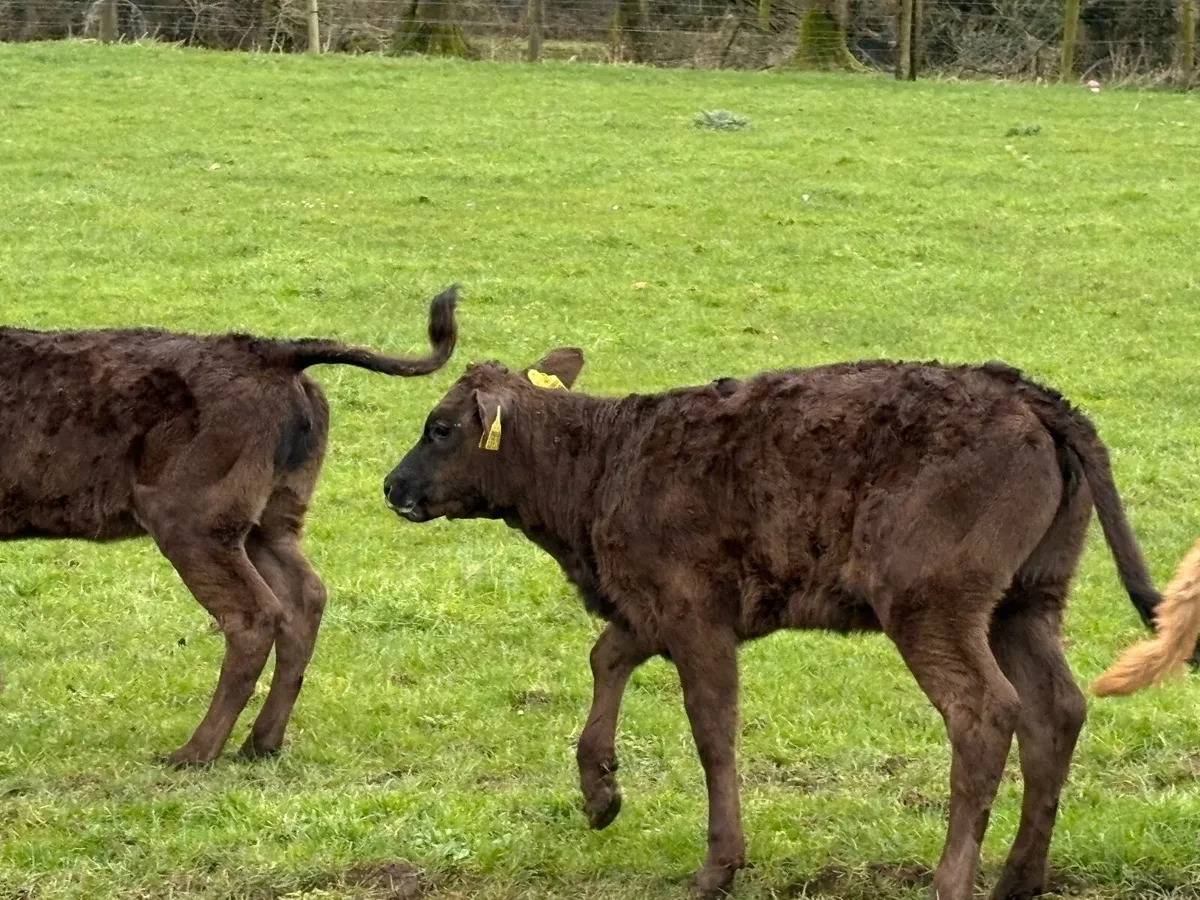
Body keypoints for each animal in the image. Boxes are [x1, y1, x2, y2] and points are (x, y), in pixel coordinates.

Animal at [1, 286, 458, 766]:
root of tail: (277, 354)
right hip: (268, 520)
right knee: (304, 598)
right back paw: (260, 743)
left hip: (194, 522)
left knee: (254, 616)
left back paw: (196, 751)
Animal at [381, 347, 1177, 900]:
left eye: (440, 428)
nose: (392, 486)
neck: (602, 464)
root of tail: (1030, 395)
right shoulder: (652, 603)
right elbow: (606, 656)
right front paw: (601, 794)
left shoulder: (693, 613)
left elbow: (712, 730)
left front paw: (717, 866)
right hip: (1027, 600)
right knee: (1057, 708)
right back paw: (1020, 877)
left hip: (932, 601)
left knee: (984, 712)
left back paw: (952, 880)